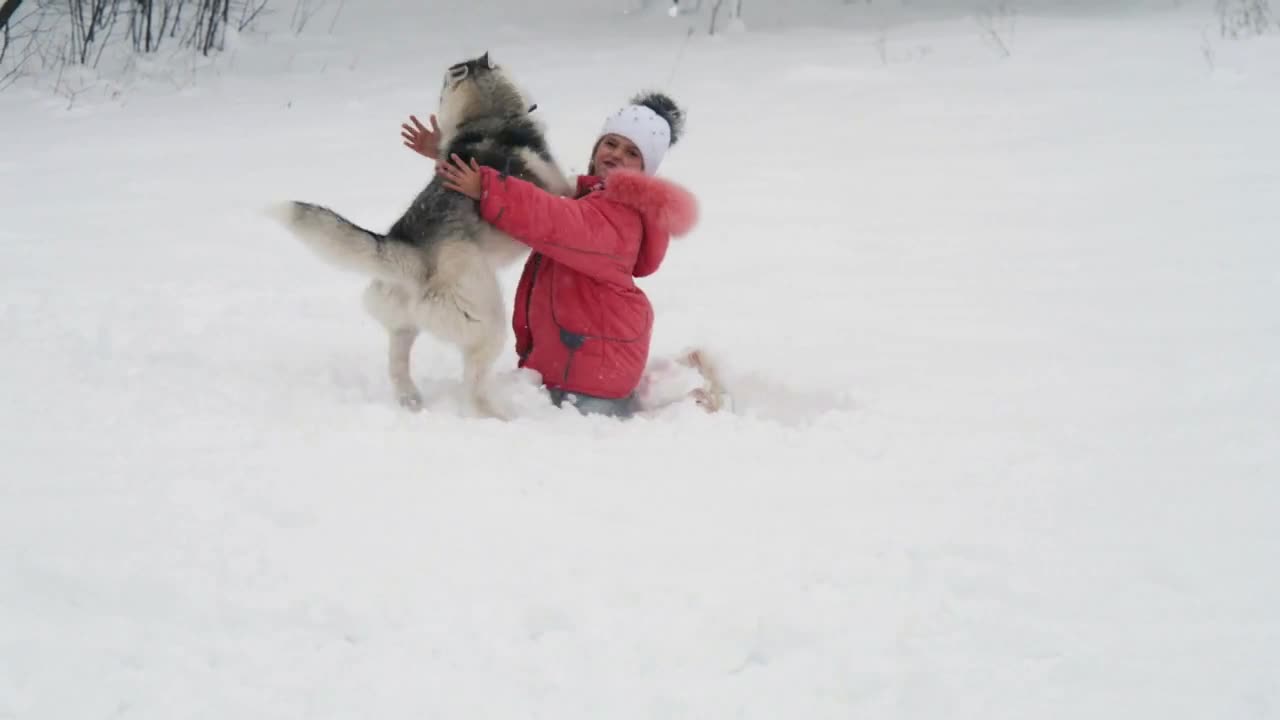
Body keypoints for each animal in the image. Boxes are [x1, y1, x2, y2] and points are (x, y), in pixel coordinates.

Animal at [267, 53, 573, 417]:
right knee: (475, 384)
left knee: (397, 365)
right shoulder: (556, 192)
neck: (485, 117)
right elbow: (570, 192)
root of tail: (406, 247)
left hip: (403, 323)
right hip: (487, 319)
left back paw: (411, 400)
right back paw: (499, 416)